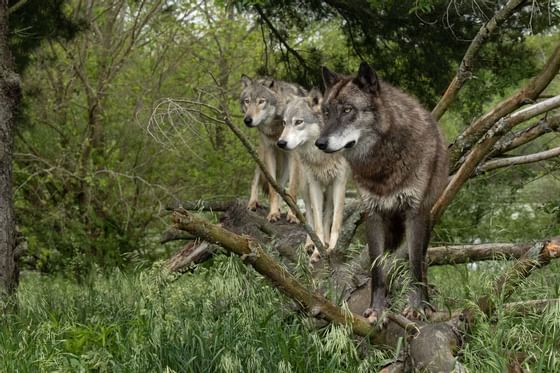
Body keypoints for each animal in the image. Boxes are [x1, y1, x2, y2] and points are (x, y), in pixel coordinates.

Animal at [237, 74, 306, 222]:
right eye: (247, 101)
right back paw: (252, 203)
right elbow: (272, 188)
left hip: (286, 163)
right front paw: (273, 213)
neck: (277, 126)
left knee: (281, 185)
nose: (247, 120)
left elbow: (292, 188)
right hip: (261, 155)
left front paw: (293, 216)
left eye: (261, 101)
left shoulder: (295, 156)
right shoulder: (269, 151)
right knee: (256, 179)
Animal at [276, 88, 350, 264]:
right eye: (284, 123)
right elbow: (316, 220)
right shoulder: (314, 183)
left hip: (329, 187)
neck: (321, 155)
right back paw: (311, 243)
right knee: (309, 214)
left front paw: (332, 247)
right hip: (304, 184)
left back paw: (327, 242)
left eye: (298, 122)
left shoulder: (340, 181)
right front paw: (317, 250)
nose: (280, 143)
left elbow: (335, 219)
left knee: (328, 212)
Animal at [318, 61, 448, 322]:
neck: (382, 164)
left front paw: (417, 307)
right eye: (326, 112)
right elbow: (377, 269)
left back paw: (427, 303)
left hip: (426, 220)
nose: (320, 143)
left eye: (347, 110)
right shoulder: (374, 215)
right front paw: (377, 310)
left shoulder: (415, 213)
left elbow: (415, 266)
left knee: (422, 263)